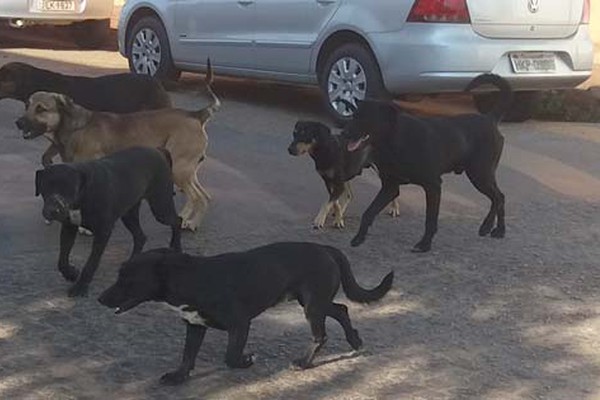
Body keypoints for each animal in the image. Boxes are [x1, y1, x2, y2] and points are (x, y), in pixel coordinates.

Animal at [17, 62, 221, 231]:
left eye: (41, 109)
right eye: (27, 105)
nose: (18, 123)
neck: (75, 126)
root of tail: (196, 115)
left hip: (179, 169)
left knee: (200, 198)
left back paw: (193, 223)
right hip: (186, 170)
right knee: (203, 196)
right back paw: (184, 218)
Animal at [34, 147, 180, 296]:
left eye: (70, 188)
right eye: (45, 186)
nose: (54, 210)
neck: (83, 195)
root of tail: (157, 150)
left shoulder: (103, 232)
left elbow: (91, 263)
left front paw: (80, 286)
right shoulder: (69, 227)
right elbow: (62, 259)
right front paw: (71, 274)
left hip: (161, 207)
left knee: (177, 220)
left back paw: (176, 247)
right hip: (129, 214)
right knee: (140, 236)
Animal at [98, 242, 394, 386]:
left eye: (127, 279)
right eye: (119, 274)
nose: (100, 298)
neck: (192, 279)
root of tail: (326, 249)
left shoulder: (240, 324)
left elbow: (230, 357)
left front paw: (247, 360)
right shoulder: (195, 325)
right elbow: (187, 356)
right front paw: (179, 377)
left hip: (312, 306)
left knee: (320, 335)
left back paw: (304, 362)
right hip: (313, 302)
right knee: (341, 310)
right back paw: (355, 341)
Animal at [344, 73, 508, 252]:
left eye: (366, 118)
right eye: (354, 115)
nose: (344, 133)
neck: (395, 139)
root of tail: (490, 118)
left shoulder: (433, 186)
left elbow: (430, 219)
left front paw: (424, 244)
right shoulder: (390, 187)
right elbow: (368, 213)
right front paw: (359, 238)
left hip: (480, 175)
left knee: (499, 197)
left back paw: (491, 228)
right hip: (481, 176)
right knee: (498, 198)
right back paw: (496, 229)